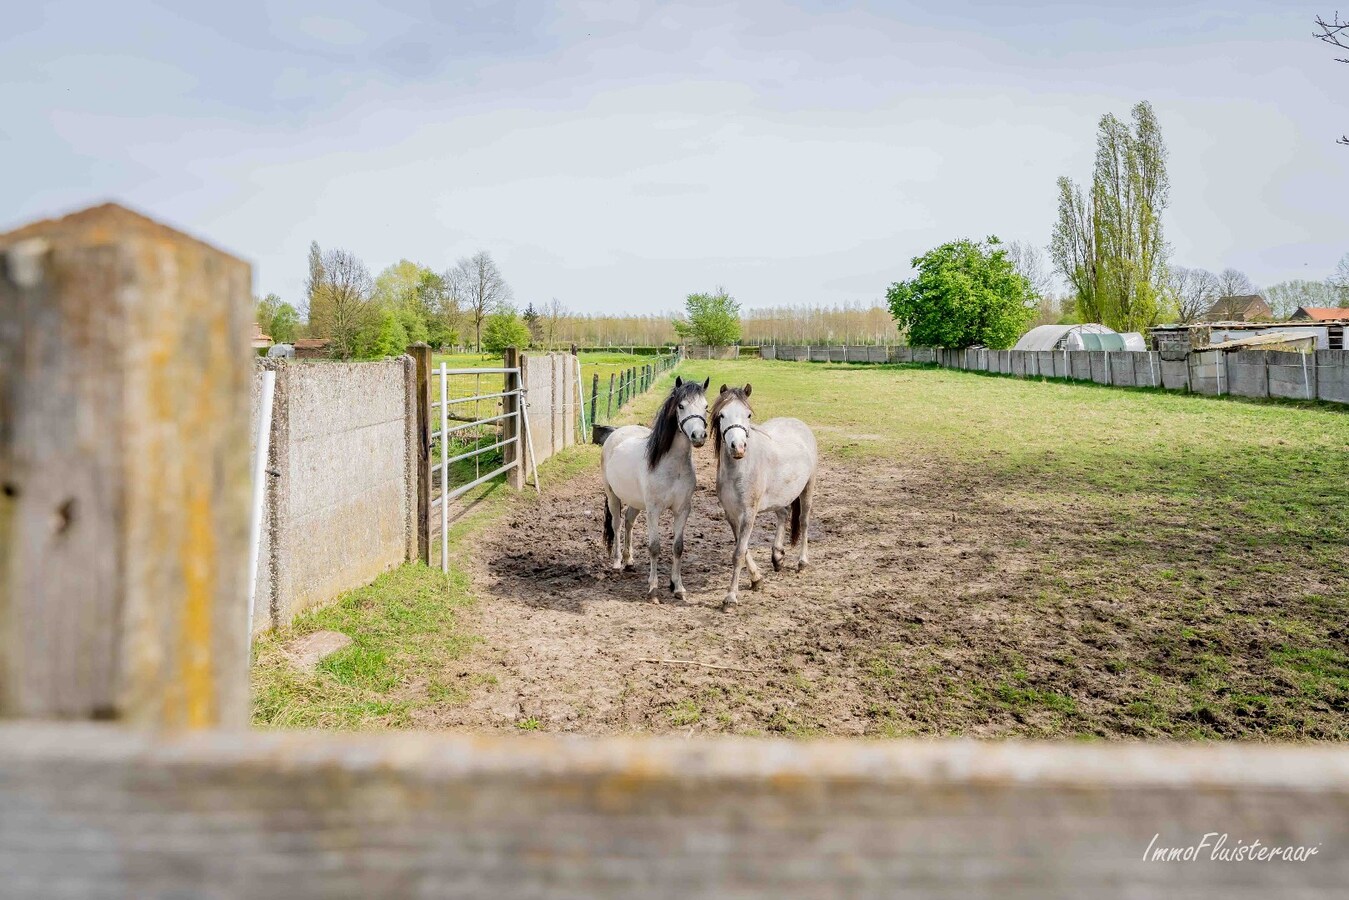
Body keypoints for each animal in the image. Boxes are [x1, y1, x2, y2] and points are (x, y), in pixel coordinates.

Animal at [598, 377, 706, 601]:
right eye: (681, 406)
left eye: (706, 406)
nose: (699, 436)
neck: (671, 466)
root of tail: (616, 434)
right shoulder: (654, 511)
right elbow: (654, 547)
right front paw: (653, 589)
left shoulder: (682, 510)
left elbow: (678, 547)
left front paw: (678, 588)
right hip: (613, 496)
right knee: (617, 524)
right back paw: (617, 563)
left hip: (637, 502)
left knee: (629, 521)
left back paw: (629, 561)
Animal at [712, 383, 814, 609]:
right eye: (722, 415)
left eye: (748, 415)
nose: (738, 447)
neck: (739, 469)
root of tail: (798, 423)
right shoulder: (731, 514)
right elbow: (742, 548)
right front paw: (757, 579)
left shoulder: (748, 513)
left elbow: (739, 553)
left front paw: (731, 597)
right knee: (783, 514)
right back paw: (777, 556)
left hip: (808, 487)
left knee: (803, 521)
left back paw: (802, 562)